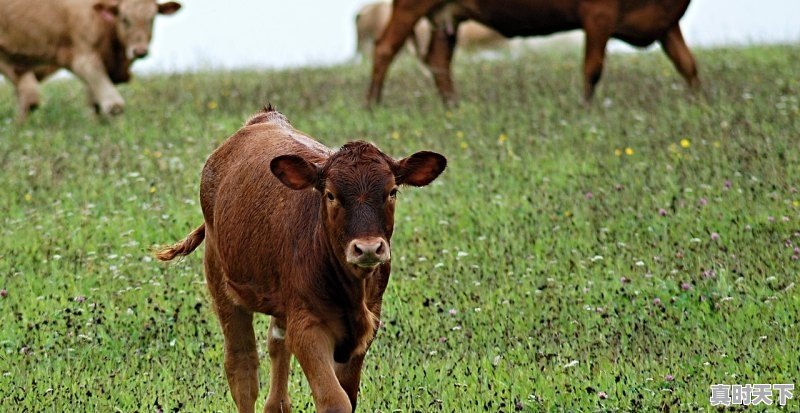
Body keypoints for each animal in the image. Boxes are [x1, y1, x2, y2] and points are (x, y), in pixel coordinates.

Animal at [0, 0, 181, 119]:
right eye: (124, 18)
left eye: (152, 18)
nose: (140, 51)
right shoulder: (84, 60)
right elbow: (114, 105)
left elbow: (95, 105)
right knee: (29, 98)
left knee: (26, 98)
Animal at [155, 106, 444, 412]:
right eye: (330, 194)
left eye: (392, 192)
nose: (367, 249)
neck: (351, 292)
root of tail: (264, 118)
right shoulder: (308, 326)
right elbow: (334, 399)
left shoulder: (367, 325)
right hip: (220, 277)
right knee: (242, 367)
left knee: (276, 347)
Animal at [368, 0, 700, 105]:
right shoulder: (598, 14)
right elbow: (592, 69)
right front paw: (586, 109)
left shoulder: (667, 23)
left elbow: (688, 65)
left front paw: (699, 104)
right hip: (410, 5)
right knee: (384, 48)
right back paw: (373, 104)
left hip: (447, 17)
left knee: (439, 62)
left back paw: (453, 106)